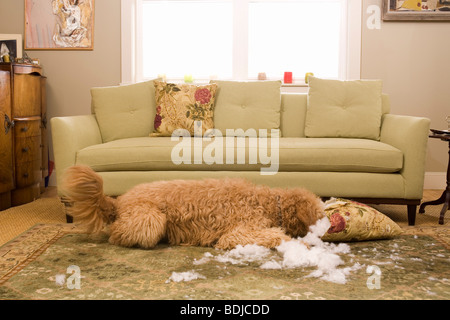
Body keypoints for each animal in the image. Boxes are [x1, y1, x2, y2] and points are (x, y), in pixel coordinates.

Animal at [61, 166, 326, 251]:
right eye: (319, 214)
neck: (271, 203)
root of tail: (118, 201)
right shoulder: (237, 233)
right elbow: (275, 235)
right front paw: (299, 243)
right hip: (151, 219)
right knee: (117, 235)